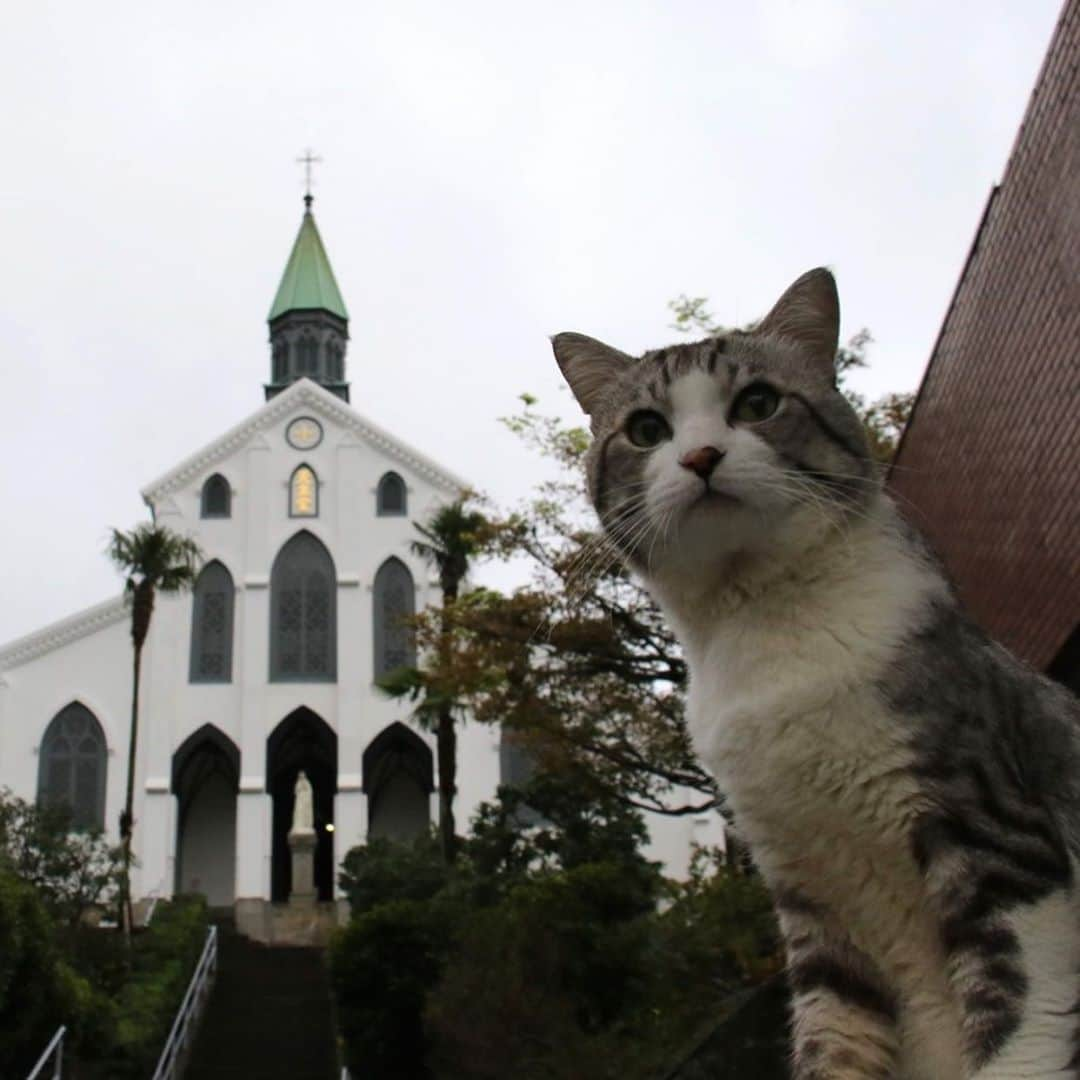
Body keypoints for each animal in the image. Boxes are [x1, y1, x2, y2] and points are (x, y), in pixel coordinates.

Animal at [552, 265, 1080, 1075]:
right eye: (645, 430)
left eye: (757, 404)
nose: (700, 457)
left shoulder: (992, 823)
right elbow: (834, 1031)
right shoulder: (806, 889)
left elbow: (1024, 1020)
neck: (765, 625)